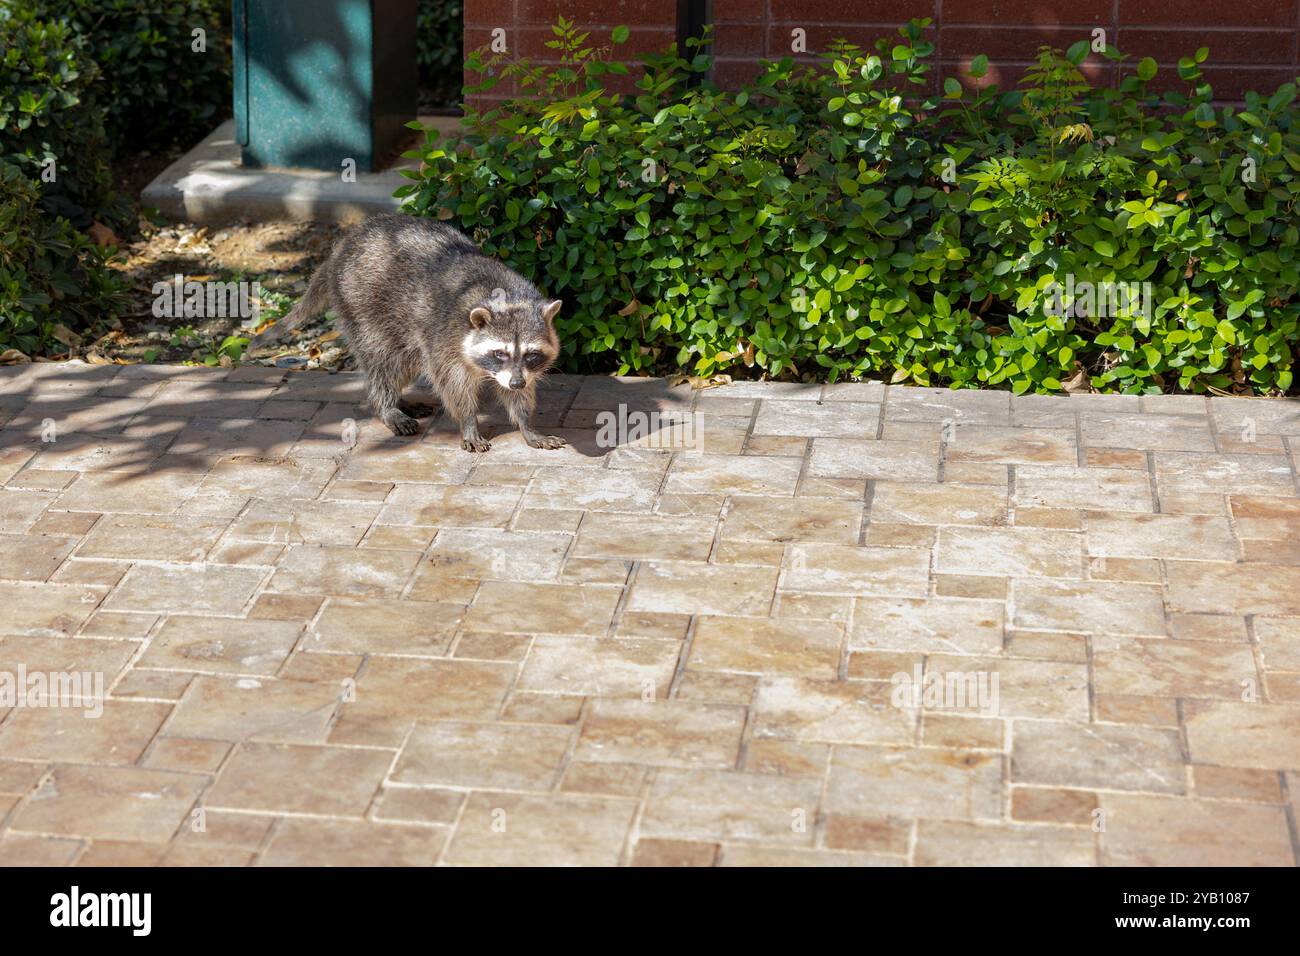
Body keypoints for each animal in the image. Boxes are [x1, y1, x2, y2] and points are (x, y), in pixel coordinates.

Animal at [250, 214, 565, 453]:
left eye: (531, 354)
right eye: (499, 353)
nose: (516, 382)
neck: (506, 297)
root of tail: (341, 248)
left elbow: (519, 395)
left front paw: (526, 423)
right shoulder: (447, 338)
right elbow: (452, 384)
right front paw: (468, 422)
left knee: (405, 362)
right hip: (361, 302)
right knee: (383, 361)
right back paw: (386, 404)